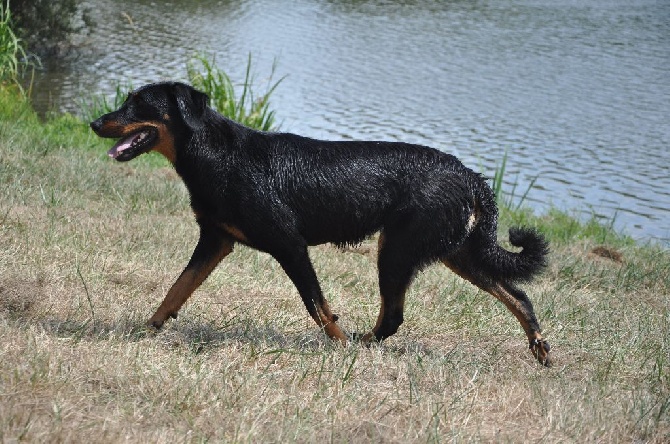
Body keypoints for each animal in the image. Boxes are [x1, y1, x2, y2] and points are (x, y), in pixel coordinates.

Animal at [90, 81, 552, 366]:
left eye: (139, 104)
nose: (94, 122)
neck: (218, 156)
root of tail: (470, 175)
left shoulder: (289, 245)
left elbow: (318, 307)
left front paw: (342, 349)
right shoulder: (215, 240)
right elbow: (176, 290)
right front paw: (146, 330)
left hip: (398, 250)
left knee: (394, 316)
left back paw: (362, 346)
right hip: (452, 251)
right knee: (517, 295)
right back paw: (541, 349)